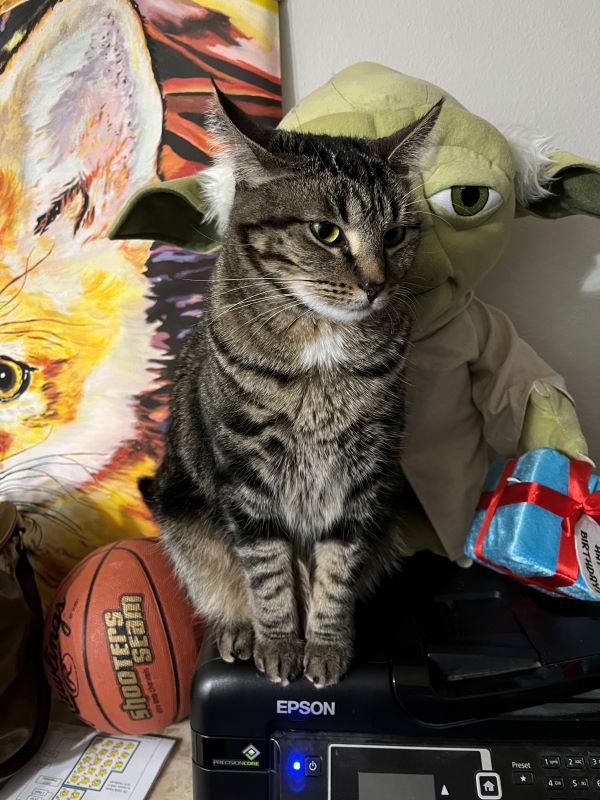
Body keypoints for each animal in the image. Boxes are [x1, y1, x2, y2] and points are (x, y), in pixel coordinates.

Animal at [141, 89, 440, 688]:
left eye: (395, 234)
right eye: (326, 232)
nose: (376, 286)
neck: (321, 351)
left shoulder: (364, 473)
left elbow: (338, 569)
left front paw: (326, 647)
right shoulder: (245, 471)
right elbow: (268, 570)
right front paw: (279, 645)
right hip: (183, 518)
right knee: (225, 586)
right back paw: (237, 632)